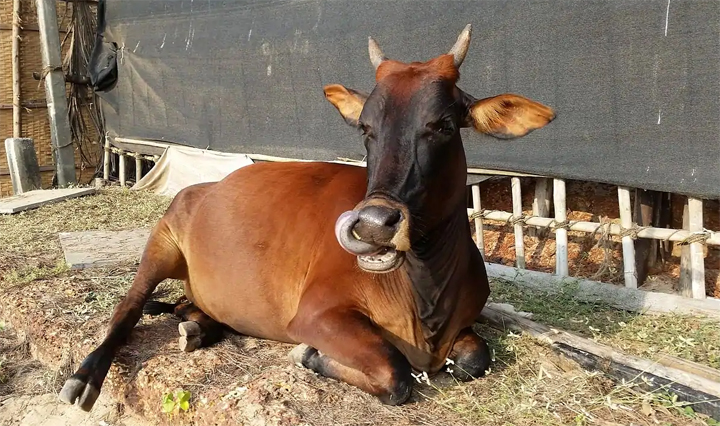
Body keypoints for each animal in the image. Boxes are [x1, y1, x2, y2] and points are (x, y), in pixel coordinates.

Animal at [59, 24, 555, 411]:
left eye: (444, 125)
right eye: (366, 128)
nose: (374, 225)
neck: (426, 293)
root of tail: (204, 187)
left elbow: (475, 360)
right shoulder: (317, 313)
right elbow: (396, 374)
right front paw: (312, 357)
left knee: (189, 306)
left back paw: (197, 326)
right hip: (161, 243)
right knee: (128, 307)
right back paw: (85, 376)